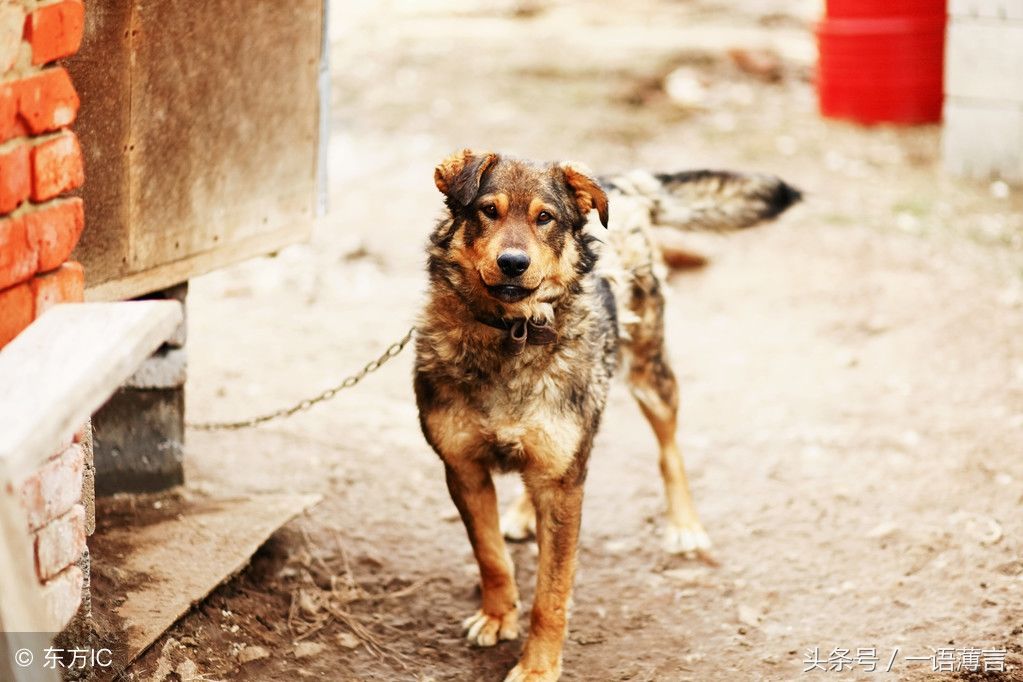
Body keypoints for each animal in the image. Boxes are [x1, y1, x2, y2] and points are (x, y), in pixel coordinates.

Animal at [413, 150, 797, 682]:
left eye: (545, 218)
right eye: (488, 211)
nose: (513, 263)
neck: (512, 335)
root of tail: (617, 182)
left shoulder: (564, 486)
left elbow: (551, 595)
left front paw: (537, 667)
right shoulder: (464, 469)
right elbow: (491, 558)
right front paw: (498, 615)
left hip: (651, 377)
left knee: (670, 450)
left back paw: (685, 526)